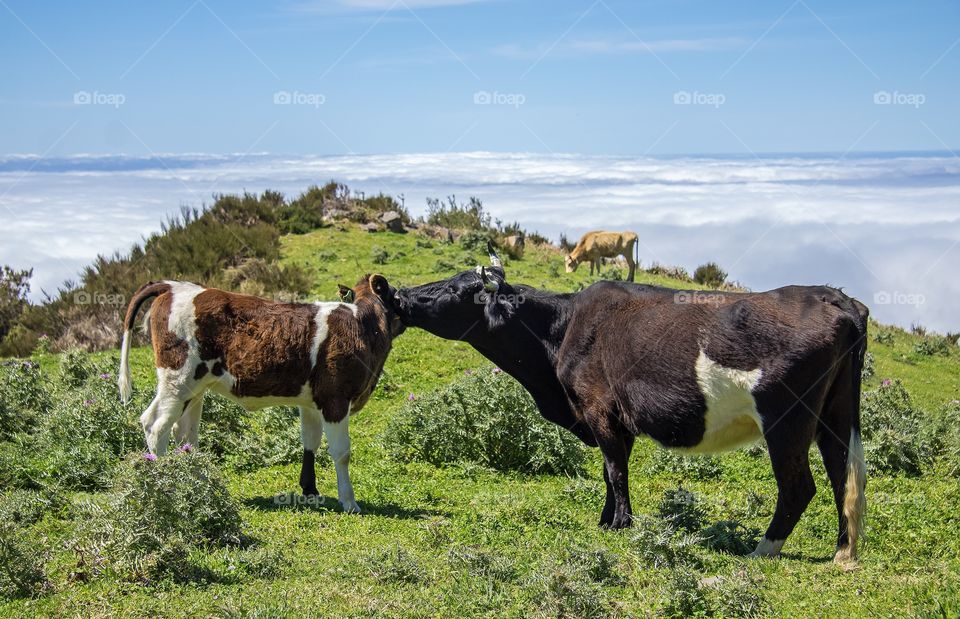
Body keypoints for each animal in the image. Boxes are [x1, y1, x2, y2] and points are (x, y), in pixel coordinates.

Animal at [117, 274, 404, 513]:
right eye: (397, 296)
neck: (361, 324)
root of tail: (173, 285)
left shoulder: (311, 402)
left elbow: (310, 442)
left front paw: (310, 491)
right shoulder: (335, 399)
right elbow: (342, 453)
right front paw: (349, 502)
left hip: (195, 388)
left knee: (185, 434)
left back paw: (198, 482)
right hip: (178, 380)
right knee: (155, 425)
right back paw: (165, 483)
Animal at [395, 246, 869, 564]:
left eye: (455, 288)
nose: (400, 296)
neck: (560, 330)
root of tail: (836, 297)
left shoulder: (599, 408)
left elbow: (613, 469)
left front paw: (621, 524)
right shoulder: (616, 419)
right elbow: (612, 470)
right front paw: (608, 519)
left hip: (786, 420)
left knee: (799, 486)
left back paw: (762, 550)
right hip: (836, 415)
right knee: (842, 475)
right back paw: (843, 551)